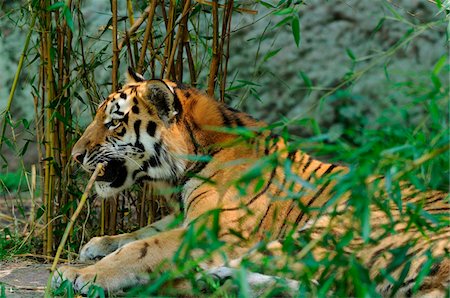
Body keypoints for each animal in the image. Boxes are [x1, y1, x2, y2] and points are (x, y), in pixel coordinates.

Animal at [51, 68, 448, 296]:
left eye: (114, 123)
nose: (75, 156)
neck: (194, 156)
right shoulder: (185, 216)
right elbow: (141, 232)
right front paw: (96, 245)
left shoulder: (210, 229)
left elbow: (141, 249)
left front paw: (78, 274)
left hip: (331, 228)